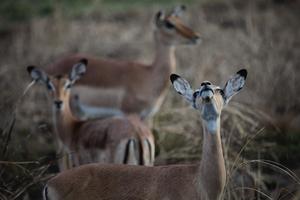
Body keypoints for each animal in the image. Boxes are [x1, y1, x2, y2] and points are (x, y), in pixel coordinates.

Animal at [45, 5, 199, 120]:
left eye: (180, 20)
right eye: (169, 24)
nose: (196, 36)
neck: (149, 75)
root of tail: (52, 66)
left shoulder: (147, 117)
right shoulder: (130, 114)